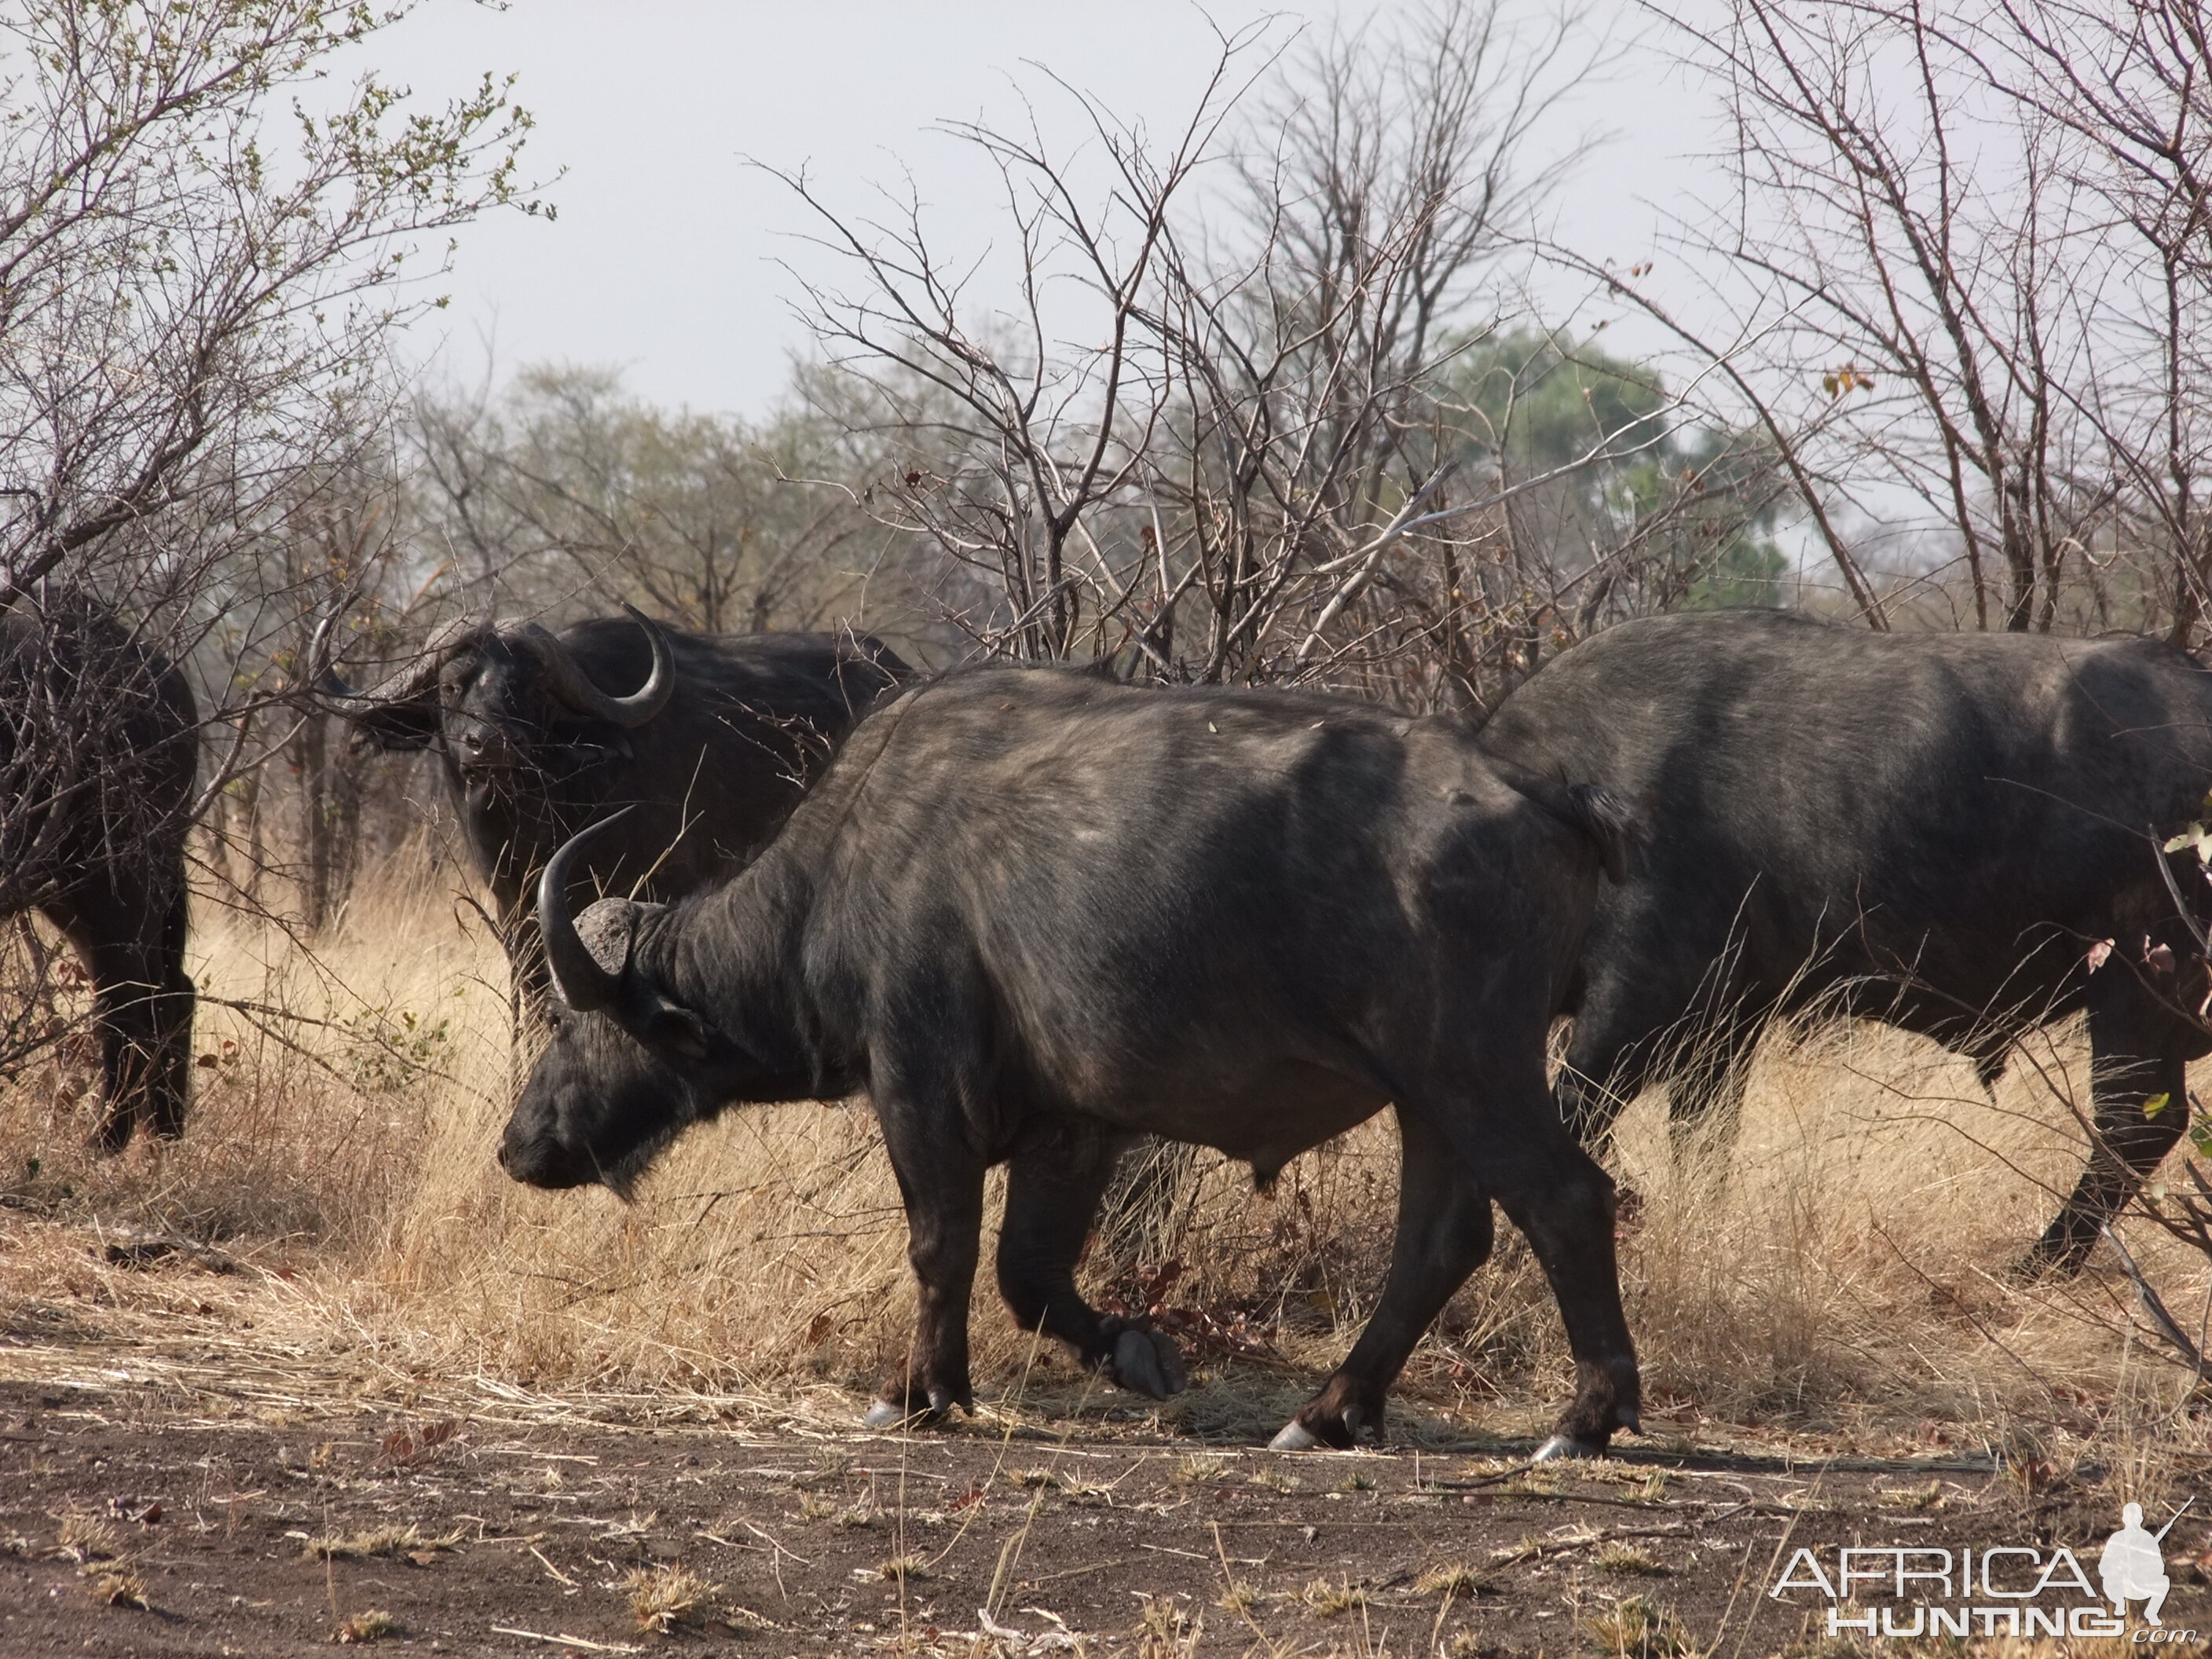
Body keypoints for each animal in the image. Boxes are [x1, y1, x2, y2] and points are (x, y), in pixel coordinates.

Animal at [2, 601, 199, 1159]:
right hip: (69, 885)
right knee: (168, 990)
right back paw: (162, 1137)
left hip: (112, 874)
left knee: (129, 998)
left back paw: (105, 1140)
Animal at [502, 668, 1646, 1459]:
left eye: (573, 1026)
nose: (519, 1148)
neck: (840, 881)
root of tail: (1548, 797)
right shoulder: (1073, 1125)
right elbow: (1029, 1272)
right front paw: (1136, 1353)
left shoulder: (917, 1091)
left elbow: (942, 1248)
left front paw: (919, 1393)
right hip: (1427, 1098)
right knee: (1442, 1239)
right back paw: (1329, 1412)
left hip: (1472, 1071)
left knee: (1566, 1201)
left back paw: (1583, 1420)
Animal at [1478, 610, 2212, 1274]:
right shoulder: (1722, 1027)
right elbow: (1702, 1142)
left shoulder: (1641, 999)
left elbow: (1569, 1120)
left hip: (2139, 981)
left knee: (2133, 1124)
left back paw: (2039, 1264)